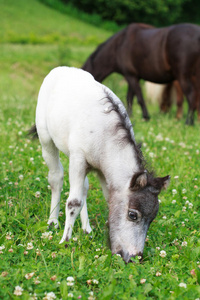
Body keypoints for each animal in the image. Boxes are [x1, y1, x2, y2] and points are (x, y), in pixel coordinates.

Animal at [35, 66, 170, 262]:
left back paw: (87, 229)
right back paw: (53, 221)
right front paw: (65, 242)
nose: (134, 257)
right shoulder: (77, 159)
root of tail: (61, 68)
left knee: (84, 187)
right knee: (56, 177)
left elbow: (98, 198)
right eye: (132, 215)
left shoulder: (102, 171)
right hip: (46, 140)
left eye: (152, 219)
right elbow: (74, 202)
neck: (104, 136)